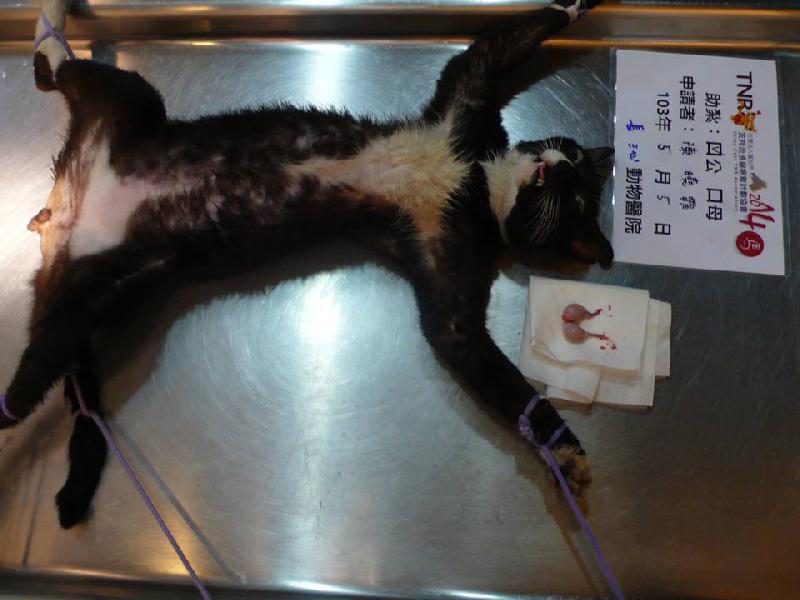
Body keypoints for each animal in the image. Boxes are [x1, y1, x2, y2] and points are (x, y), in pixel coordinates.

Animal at [1, 0, 613, 529]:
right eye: (575, 166)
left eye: (578, 199)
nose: (562, 167)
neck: (475, 183)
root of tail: (63, 211)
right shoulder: (462, 108)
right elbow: (492, 47)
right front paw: (581, 3)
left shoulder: (450, 266)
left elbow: (474, 353)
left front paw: (566, 454)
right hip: (129, 102)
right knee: (53, 69)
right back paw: (54, 17)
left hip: (98, 292)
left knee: (30, 379)